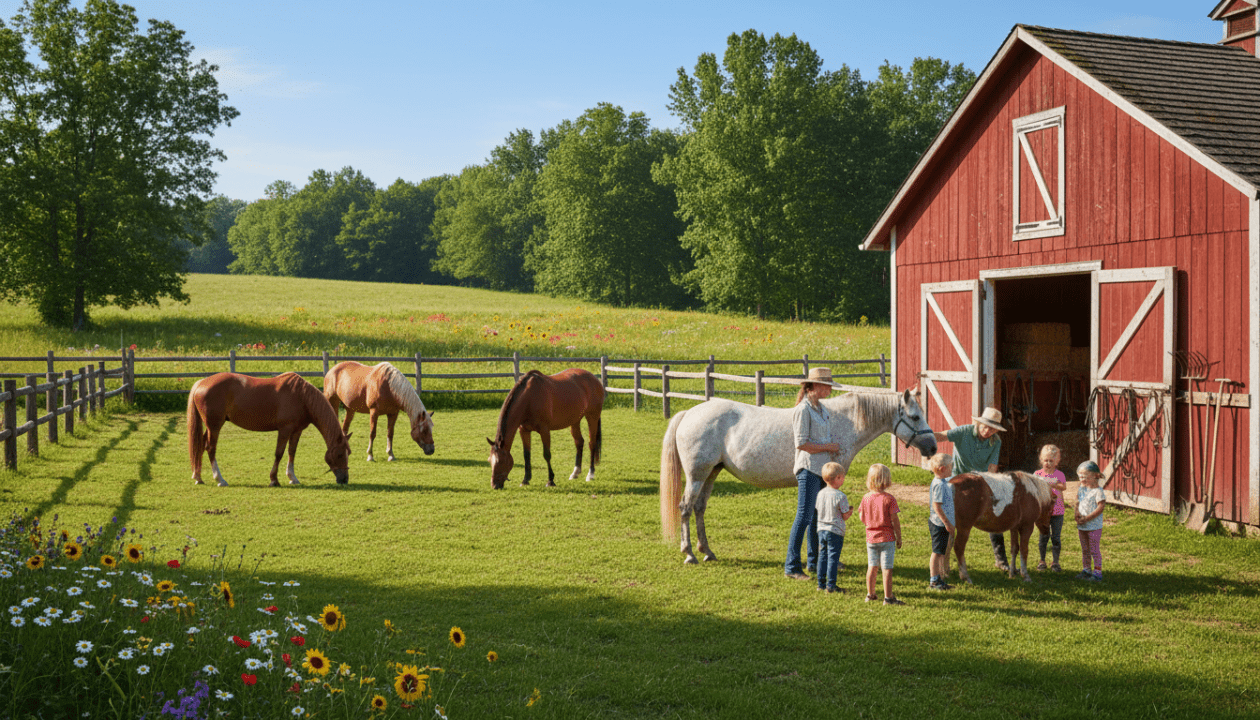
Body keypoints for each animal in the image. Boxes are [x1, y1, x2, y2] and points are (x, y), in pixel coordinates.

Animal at [187, 372, 352, 487]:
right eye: (339, 454)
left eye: (348, 453)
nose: (344, 479)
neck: (302, 396)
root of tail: (201, 382)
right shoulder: (284, 430)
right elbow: (279, 454)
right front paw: (274, 480)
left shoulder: (297, 431)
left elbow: (292, 452)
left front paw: (292, 477)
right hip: (215, 426)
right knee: (210, 448)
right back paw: (220, 479)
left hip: (210, 427)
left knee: (200, 445)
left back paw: (198, 477)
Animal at [660, 389, 937, 564]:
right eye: (915, 416)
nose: (933, 447)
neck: (843, 422)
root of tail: (689, 413)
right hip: (697, 476)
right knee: (686, 508)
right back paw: (690, 554)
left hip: (711, 473)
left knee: (699, 508)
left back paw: (707, 551)